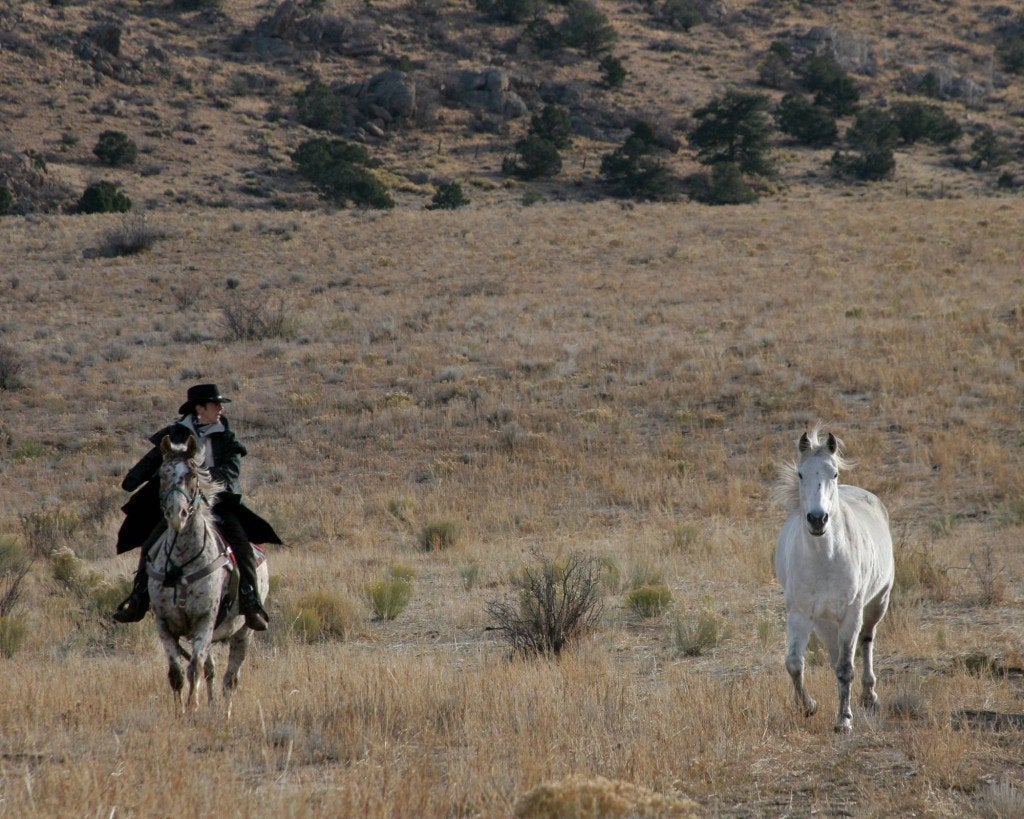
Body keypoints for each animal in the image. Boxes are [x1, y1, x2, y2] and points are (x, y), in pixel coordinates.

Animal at [149, 438, 270, 712]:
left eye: (192, 475)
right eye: (162, 474)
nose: (177, 514)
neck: (181, 563)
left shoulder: (204, 620)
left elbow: (193, 668)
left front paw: (192, 706)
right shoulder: (164, 625)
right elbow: (177, 673)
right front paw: (180, 711)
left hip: (242, 633)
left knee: (230, 679)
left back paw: (224, 713)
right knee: (211, 670)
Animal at [770, 425, 892, 733]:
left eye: (834, 473)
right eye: (801, 473)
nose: (817, 519)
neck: (824, 560)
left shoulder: (851, 613)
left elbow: (846, 668)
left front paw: (844, 721)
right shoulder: (800, 614)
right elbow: (794, 663)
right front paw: (808, 706)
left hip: (877, 604)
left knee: (866, 642)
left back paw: (870, 696)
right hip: (824, 623)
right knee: (835, 655)